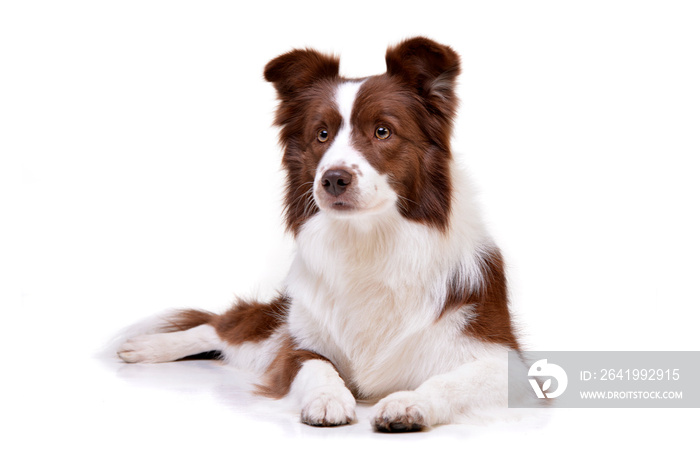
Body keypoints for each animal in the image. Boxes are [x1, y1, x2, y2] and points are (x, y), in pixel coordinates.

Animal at [116, 37, 532, 434]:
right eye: (322, 134)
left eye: (383, 131)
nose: (333, 179)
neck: (367, 240)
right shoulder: (297, 342)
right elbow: (317, 365)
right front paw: (328, 399)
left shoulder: (501, 357)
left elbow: (451, 381)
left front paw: (408, 403)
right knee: (220, 327)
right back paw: (147, 346)